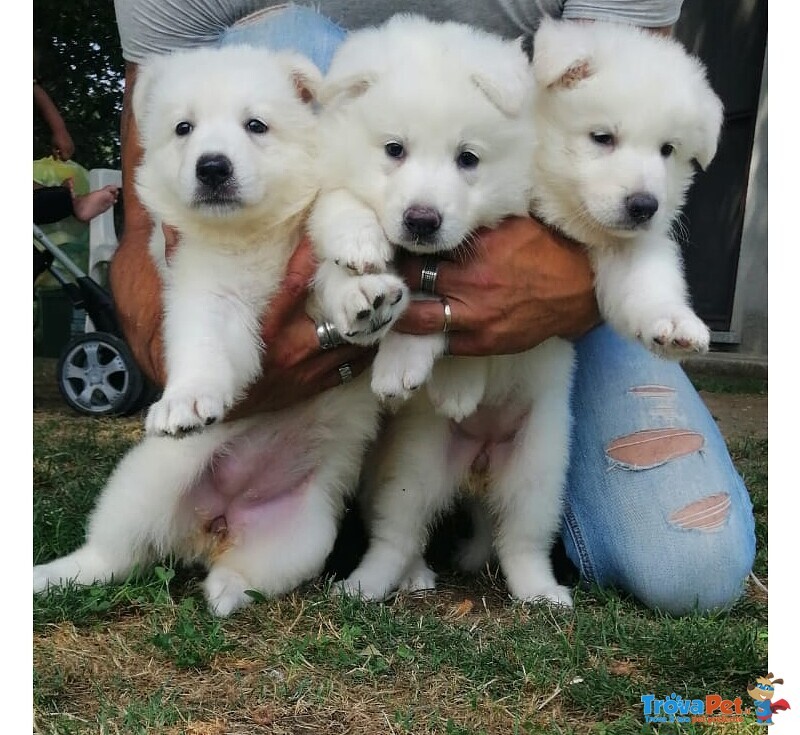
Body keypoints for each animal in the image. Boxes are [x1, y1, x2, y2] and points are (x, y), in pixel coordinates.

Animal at [36, 46, 384, 620]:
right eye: (184, 128)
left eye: (256, 125)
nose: (213, 167)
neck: (252, 233)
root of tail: (212, 527)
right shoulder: (202, 287)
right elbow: (203, 342)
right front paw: (188, 399)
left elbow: (333, 242)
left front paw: (364, 284)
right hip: (145, 482)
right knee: (113, 553)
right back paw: (49, 574)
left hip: (304, 535)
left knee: (239, 570)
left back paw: (227, 591)